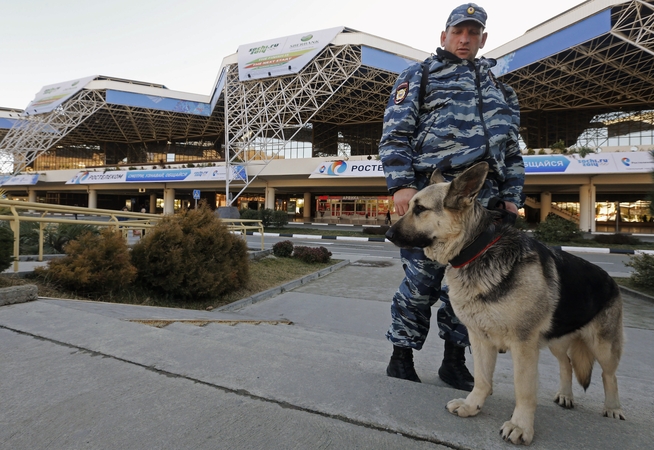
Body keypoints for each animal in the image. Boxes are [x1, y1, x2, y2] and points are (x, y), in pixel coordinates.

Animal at [386, 163, 628, 446]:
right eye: (409, 206)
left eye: (420, 209)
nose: (387, 234)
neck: (477, 249)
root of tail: (610, 280)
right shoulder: (480, 338)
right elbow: (482, 379)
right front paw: (472, 405)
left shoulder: (523, 345)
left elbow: (524, 390)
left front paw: (521, 426)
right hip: (557, 340)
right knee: (566, 363)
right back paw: (566, 395)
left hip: (603, 347)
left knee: (609, 375)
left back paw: (613, 407)